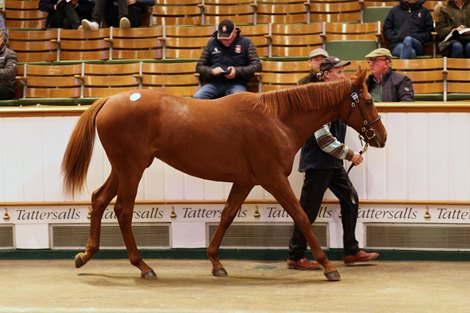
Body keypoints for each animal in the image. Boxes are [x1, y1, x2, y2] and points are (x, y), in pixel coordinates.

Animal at [61, 67, 386, 280]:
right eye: (369, 101)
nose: (381, 137)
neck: (277, 118)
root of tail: (110, 100)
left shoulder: (244, 181)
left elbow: (227, 215)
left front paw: (216, 262)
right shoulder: (273, 179)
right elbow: (302, 216)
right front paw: (328, 266)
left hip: (125, 168)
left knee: (99, 199)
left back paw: (84, 256)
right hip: (132, 168)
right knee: (123, 210)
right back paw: (143, 266)